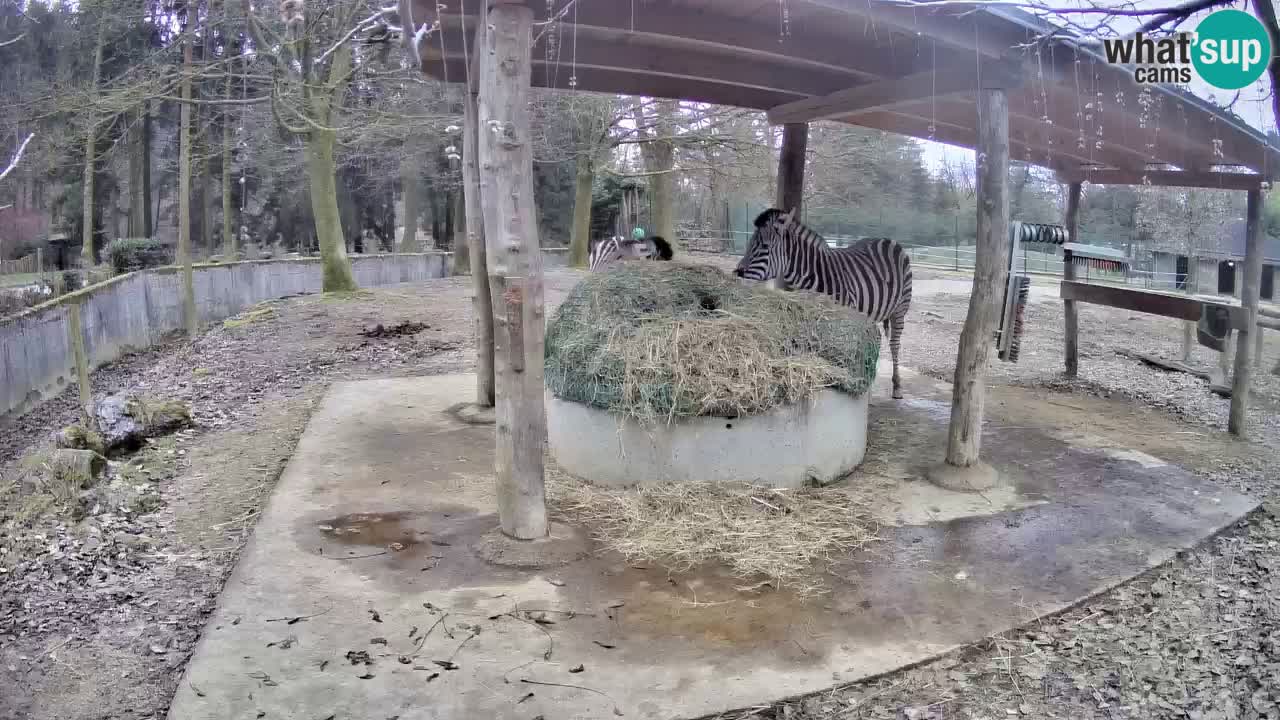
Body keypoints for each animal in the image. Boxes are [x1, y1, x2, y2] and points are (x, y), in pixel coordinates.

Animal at [732, 206, 911, 397]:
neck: (814, 275)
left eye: (765, 246)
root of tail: (888, 239)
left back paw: (897, 386)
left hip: (900, 309)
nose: (737, 273)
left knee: (894, 345)